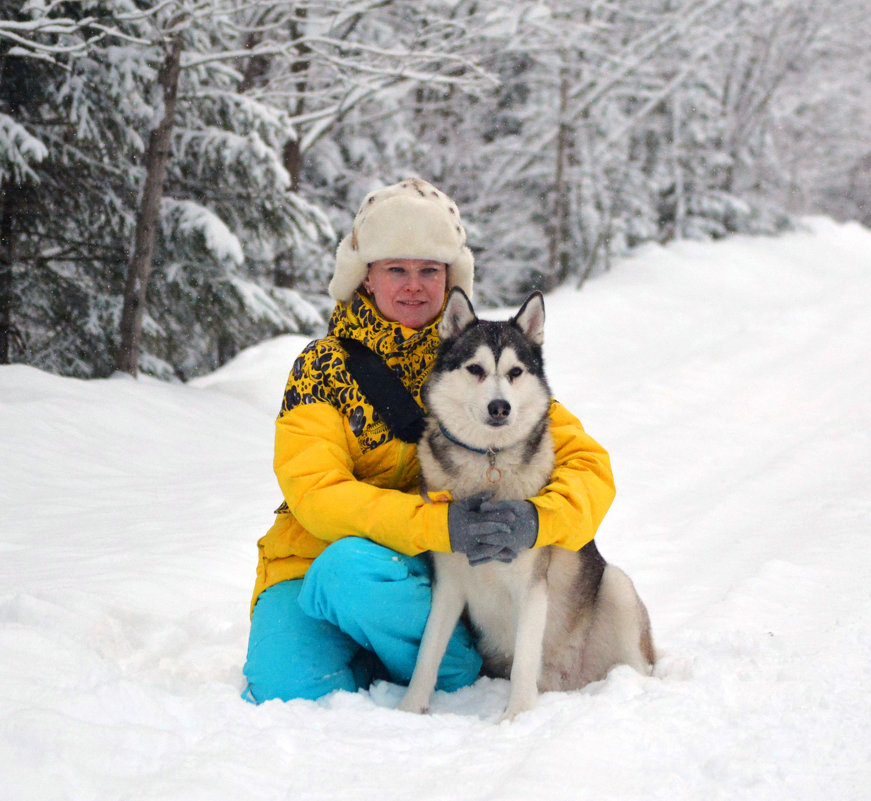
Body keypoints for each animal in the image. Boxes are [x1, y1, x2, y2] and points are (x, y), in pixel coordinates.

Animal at [402, 288, 656, 720]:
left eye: (516, 372)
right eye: (475, 369)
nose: (499, 407)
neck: (488, 464)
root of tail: (569, 683)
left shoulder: (532, 586)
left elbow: (524, 661)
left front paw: (516, 717)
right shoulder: (449, 584)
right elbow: (427, 654)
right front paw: (407, 709)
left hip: (617, 587)